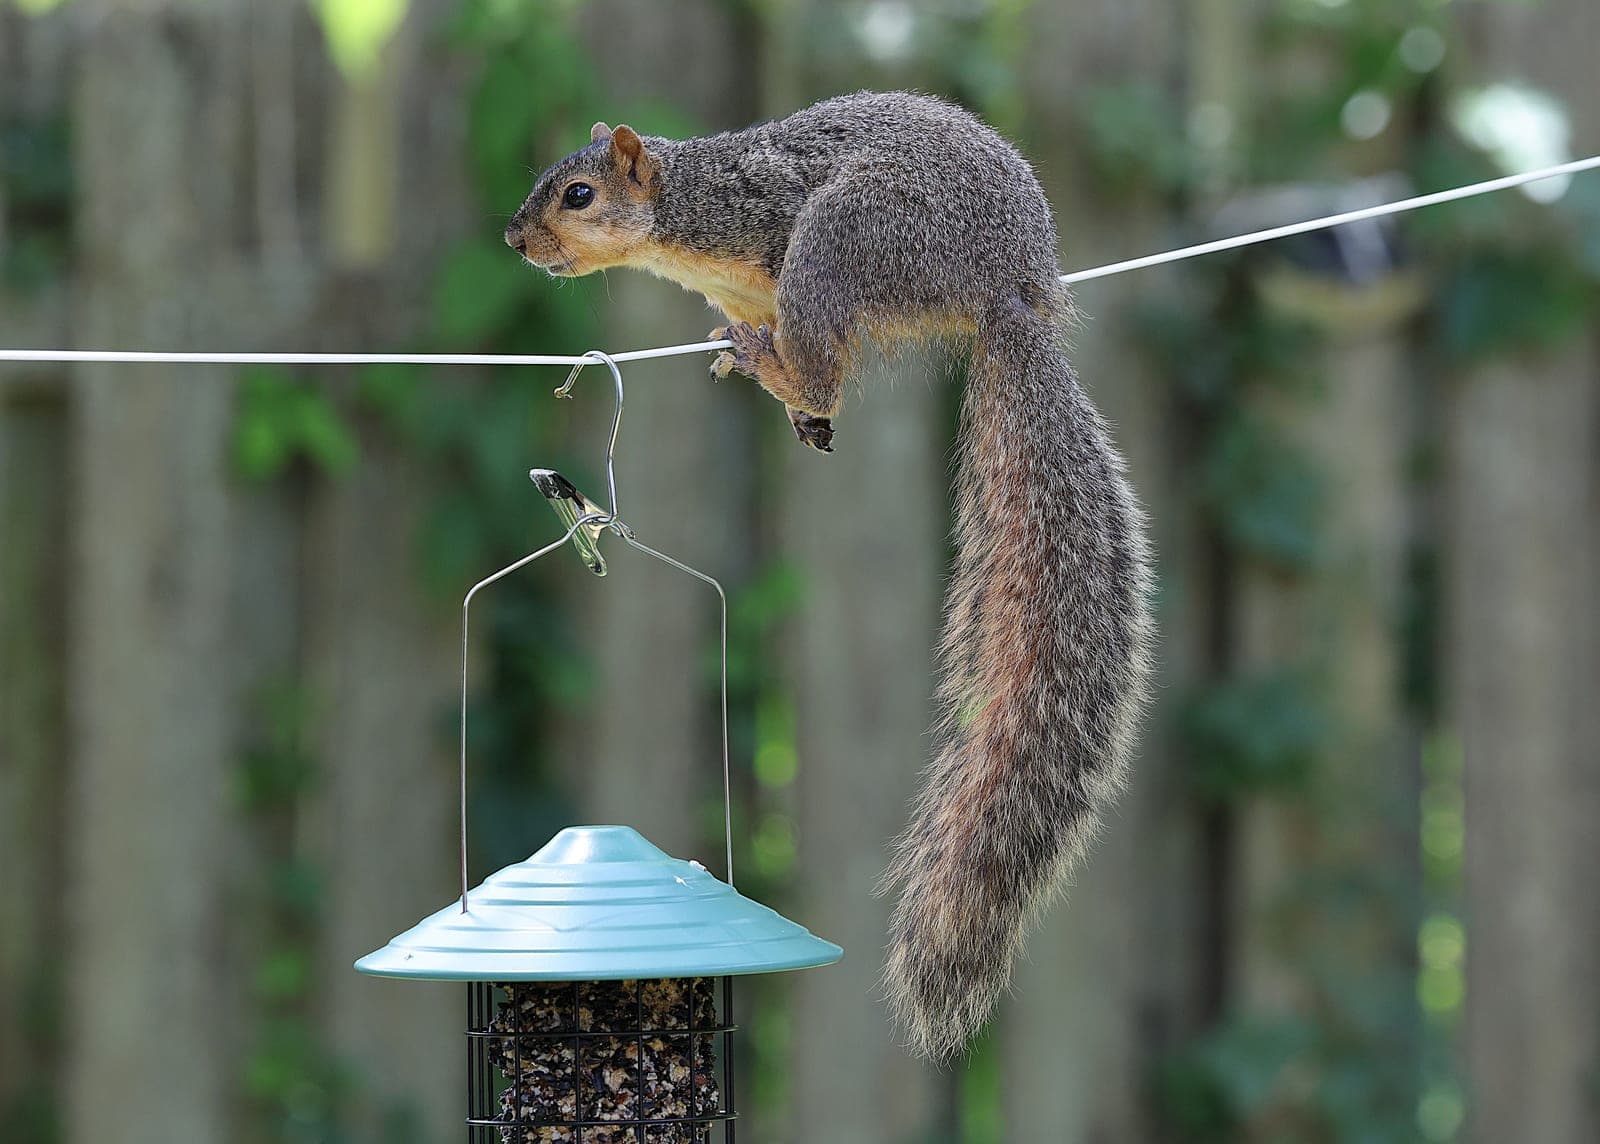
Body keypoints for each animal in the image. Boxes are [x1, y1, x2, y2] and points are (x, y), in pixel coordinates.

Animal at [504, 91, 1155, 1060]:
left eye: (578, 194)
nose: (515, 238)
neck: (684, 221)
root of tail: (1004, 284)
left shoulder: (766, 220)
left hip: (843, 241)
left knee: (824, 364)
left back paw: (773, 368)